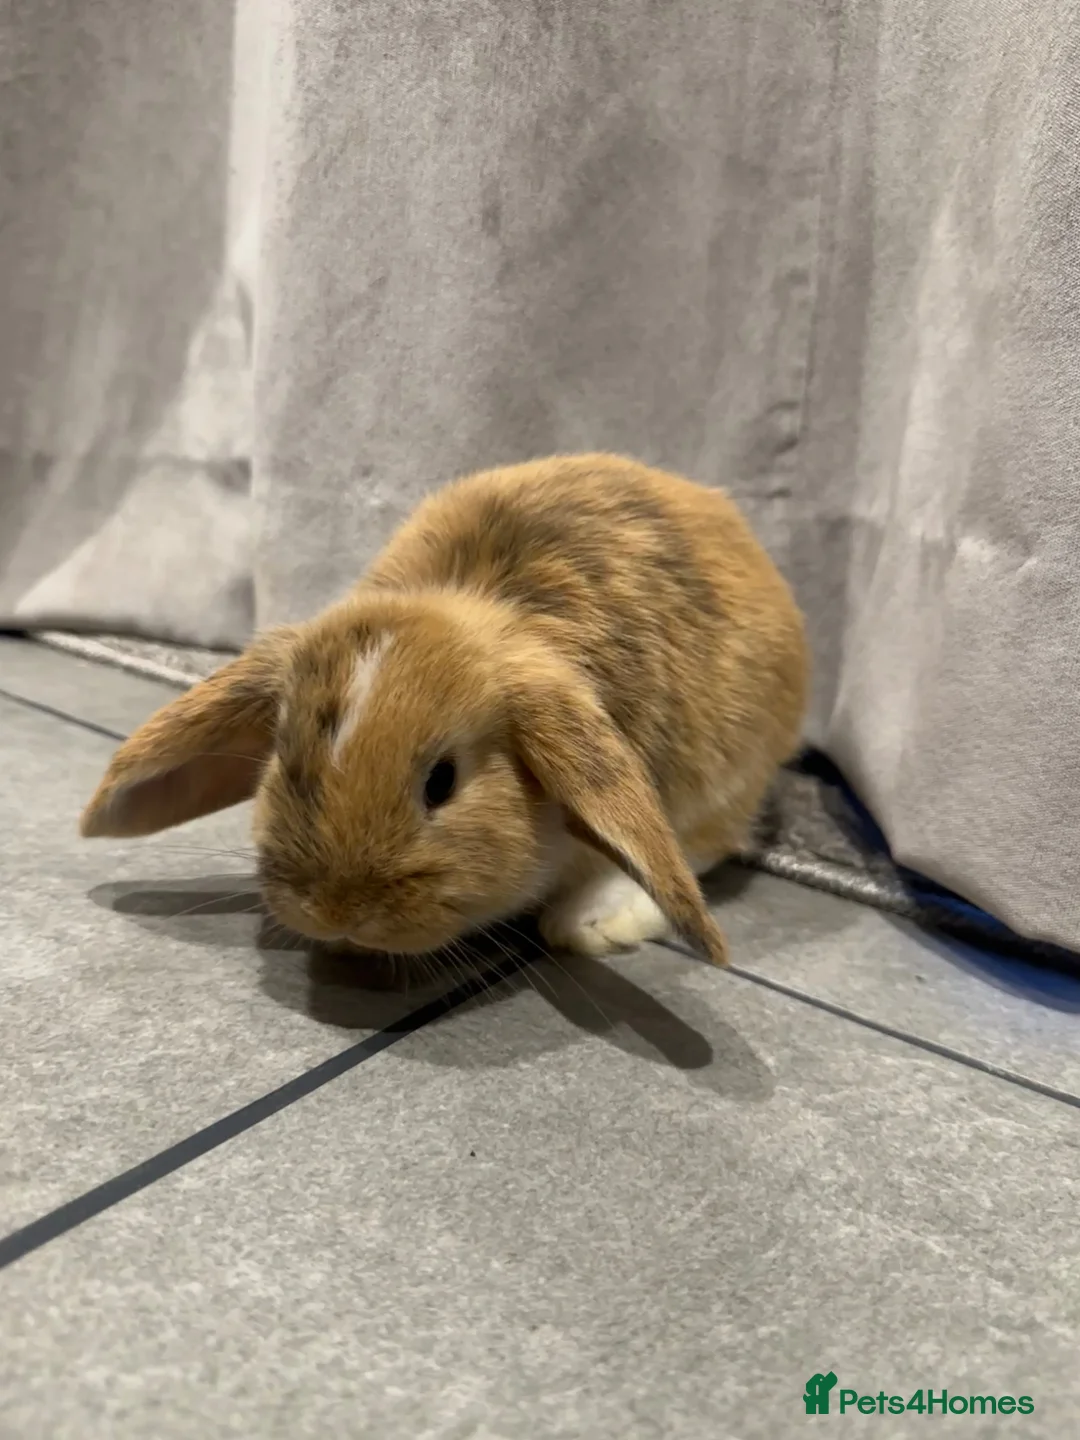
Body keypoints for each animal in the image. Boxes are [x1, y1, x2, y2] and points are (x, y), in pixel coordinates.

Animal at [80, 454, 809, 967]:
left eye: (442, 782)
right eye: (285, 761)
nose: (335, 913)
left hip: (728, 772)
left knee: (701, 844)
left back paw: (591, 919)